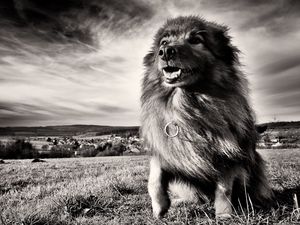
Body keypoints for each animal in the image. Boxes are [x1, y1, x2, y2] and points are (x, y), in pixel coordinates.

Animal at [141, 16, 274, 220]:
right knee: (197, 198)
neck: (189, 104)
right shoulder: (164, 149)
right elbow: (154, 180)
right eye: (163, 43)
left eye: (196, 40)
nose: (165, 51)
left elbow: (224, 189)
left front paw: (224, 215)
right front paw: (159, 209)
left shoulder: (229, 155)